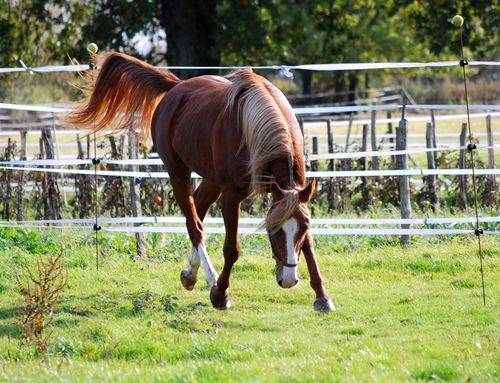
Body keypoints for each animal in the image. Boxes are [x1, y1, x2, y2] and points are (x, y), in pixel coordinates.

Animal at [65, 52, 332, 312]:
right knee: (194, 226)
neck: (257, 130)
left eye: (301, 229)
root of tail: (177, 87)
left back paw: (190, 274)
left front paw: (322, 296)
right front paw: (220, 293)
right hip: (178, 172)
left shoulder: (295, 198)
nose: (288, 279)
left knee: (198, 213)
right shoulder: (232, 197)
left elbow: (308, 246)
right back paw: (209, 277)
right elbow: (231, 249)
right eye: (272, 229)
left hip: (212, 180)